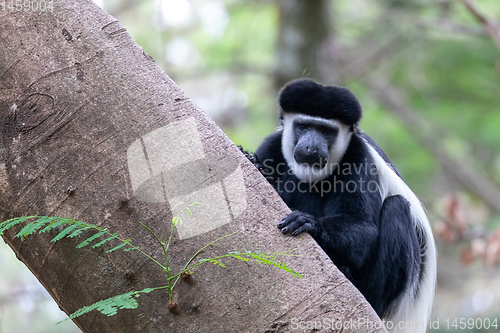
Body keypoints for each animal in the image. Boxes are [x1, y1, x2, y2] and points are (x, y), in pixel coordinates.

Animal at [256, 78, 436, 330]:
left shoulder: (359, 160)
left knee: (397, 208)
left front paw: (309, 222)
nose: (311, 147)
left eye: (326, 131)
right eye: (304, 126)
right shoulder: (272, 146)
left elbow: (362, 226)